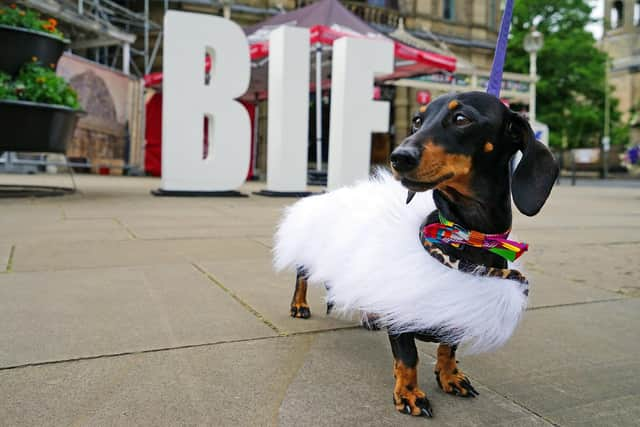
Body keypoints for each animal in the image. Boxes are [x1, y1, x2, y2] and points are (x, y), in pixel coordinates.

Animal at [288, 93, 556, 418]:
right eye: (417, 120)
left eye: (461, 118)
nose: (398, 157)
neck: (466, 234)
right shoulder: (402, 309)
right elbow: (408, 357)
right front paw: (408, 394)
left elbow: (448, 347)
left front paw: (450, 376)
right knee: (302, 277)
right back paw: (299, 305)